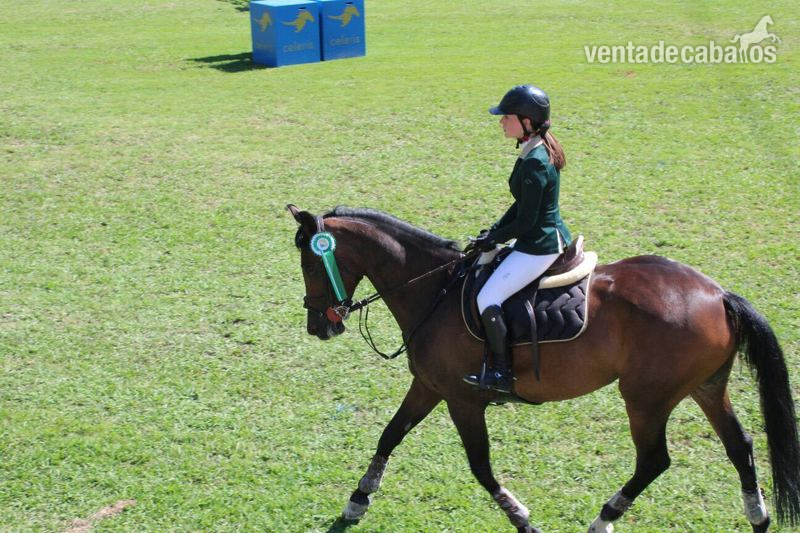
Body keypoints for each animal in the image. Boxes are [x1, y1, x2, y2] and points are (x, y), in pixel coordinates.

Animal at [288, 205, 800, 533]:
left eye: (311, 264)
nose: (319, 326)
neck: (434, 290)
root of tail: (718, 294)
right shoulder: (429, 386)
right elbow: (389, 436)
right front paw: (357, 501)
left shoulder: (462, 399)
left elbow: (480, 465)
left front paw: (520, 517)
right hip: (705, 387)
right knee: (740, 446)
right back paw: (758, 518)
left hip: (646, 398)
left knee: (655, 460)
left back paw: (602, 520)